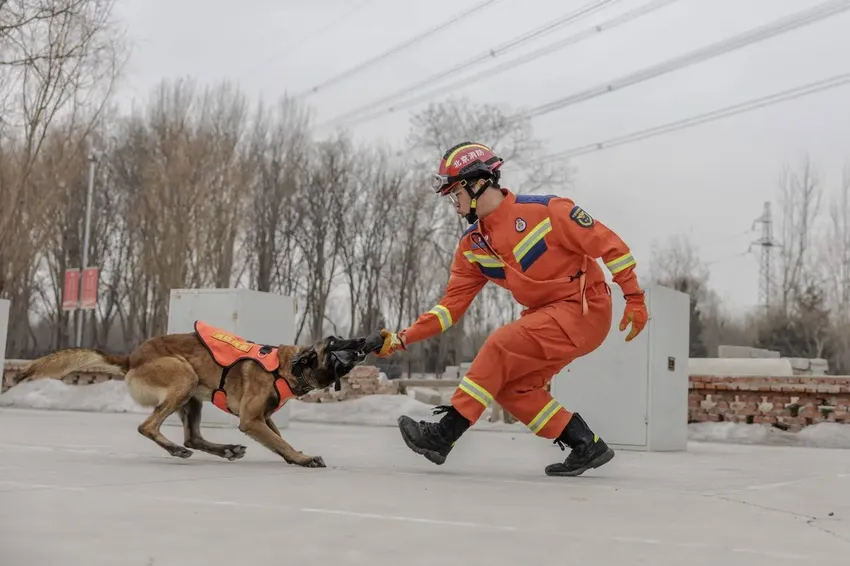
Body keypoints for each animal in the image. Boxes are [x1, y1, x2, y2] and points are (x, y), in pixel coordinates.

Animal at [18, 322, 382, 468]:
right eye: (335, 342)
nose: (371, 338)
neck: (285, 367)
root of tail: (132, 358)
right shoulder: (252, 420)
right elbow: (281, 443)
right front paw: (302, 459)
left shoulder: (263, 419)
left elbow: (280, 439)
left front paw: (297, 455)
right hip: (184, 378)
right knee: (148, 427)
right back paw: (176, 450)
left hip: (191, 396)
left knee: (192, 436)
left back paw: (224, 450)